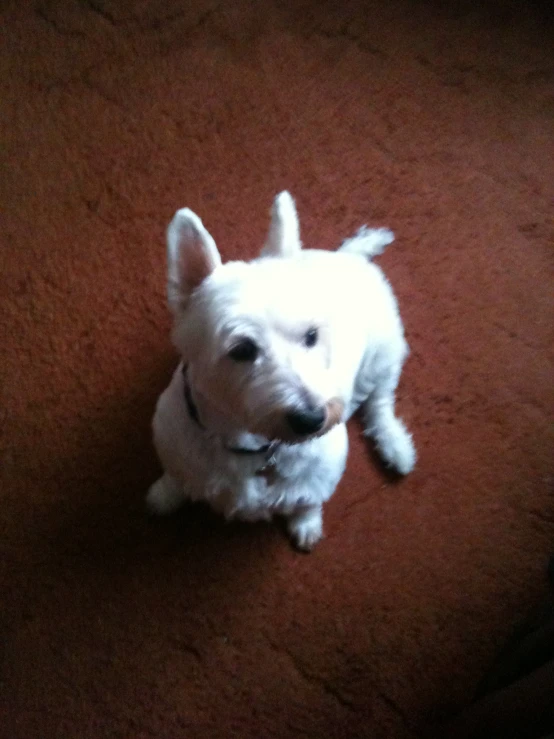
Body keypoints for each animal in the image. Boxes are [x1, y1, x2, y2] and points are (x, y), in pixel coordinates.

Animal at [147, 191, 414, 548]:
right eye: (242, 350)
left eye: (312, 335)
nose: (312, 419)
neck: (249, 444)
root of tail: (348, 257)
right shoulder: (173, 442)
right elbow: (176, 475)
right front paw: (164, 496)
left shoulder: (321, 471)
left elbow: (308, 500)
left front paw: (307, 525)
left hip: (384, 356)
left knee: (380, 403)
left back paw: (395, 446)